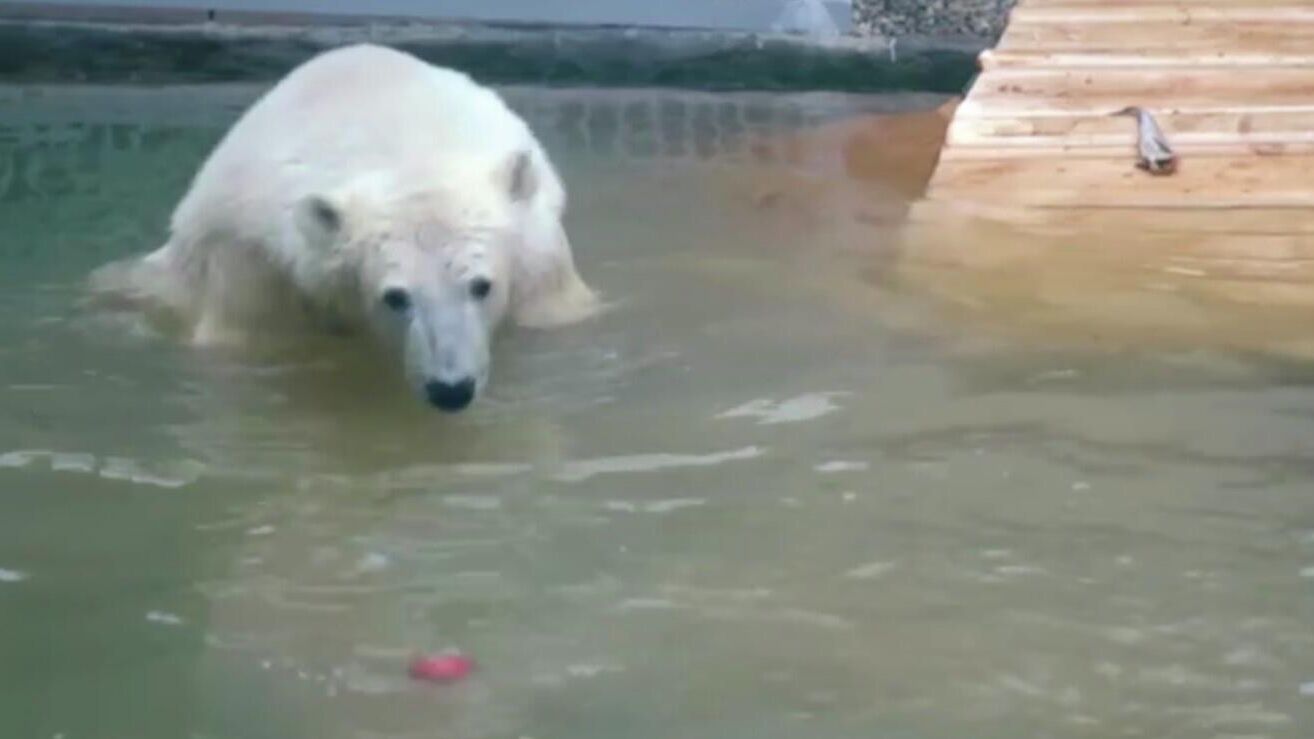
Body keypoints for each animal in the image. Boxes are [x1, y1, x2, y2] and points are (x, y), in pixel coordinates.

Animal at [95, 43, 599, 410]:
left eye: (481, 285)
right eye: (395, 296)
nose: (450, 388)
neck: (407, 149)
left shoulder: (540, 254)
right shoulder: (253, 260)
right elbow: (249, 340)